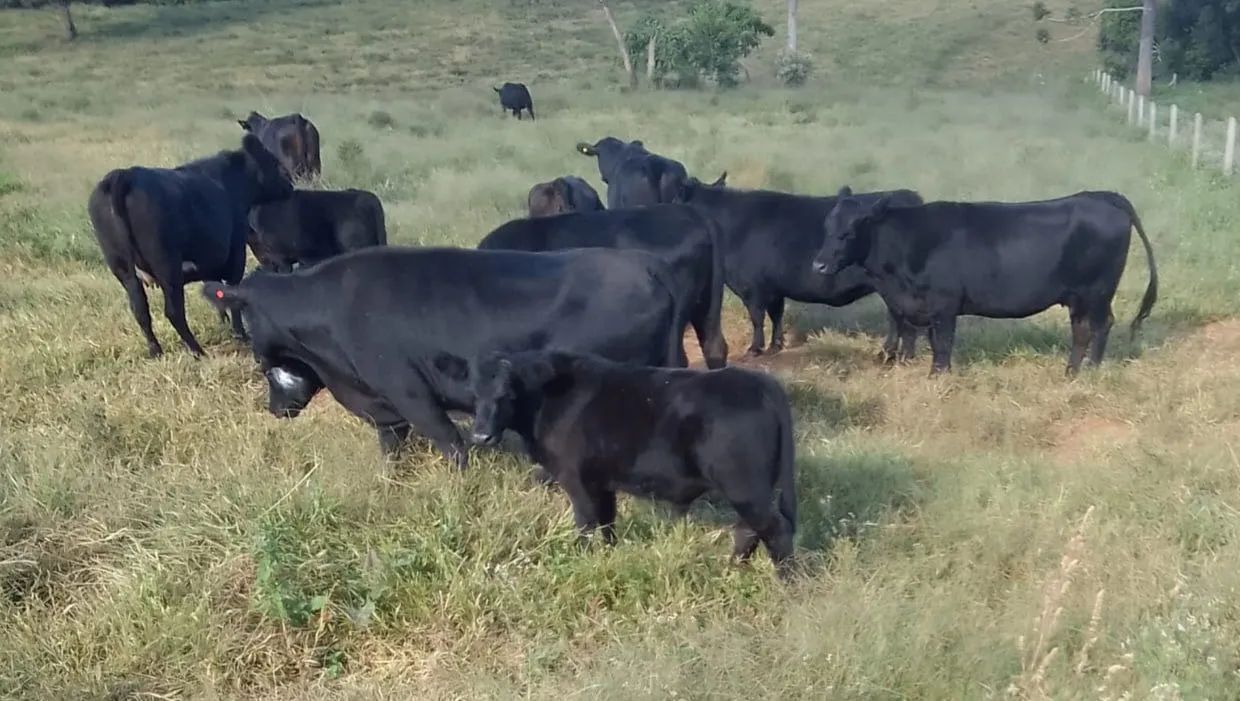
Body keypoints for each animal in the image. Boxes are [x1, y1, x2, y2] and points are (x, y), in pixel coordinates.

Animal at [87, 134, 293, 358]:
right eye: (275, 163)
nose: (290, 185)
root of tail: (125, 175)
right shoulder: (235, 254)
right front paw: (240, 333)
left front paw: (223, 324)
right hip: (167, 266)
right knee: (173, 311)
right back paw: (197, 351)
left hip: (122, 268)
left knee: (140, 310)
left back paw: (156, 351)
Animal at [202, 246, 685, 468]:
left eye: (248, 319)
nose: (274, 408)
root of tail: (647, 266)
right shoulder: (386, 406)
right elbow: (391, 448)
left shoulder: (411, 392)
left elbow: (452, 446)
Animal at [469, 349, 797, 577]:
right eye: (474, 396)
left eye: (507, 394)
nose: (481, 435)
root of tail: (762, 382)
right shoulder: (601, 482)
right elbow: (606, 522)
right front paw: (608, 555)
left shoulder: (575, 480)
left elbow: (586, 524)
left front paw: (582, 559)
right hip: (751, 489)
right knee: (749, 530)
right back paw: (732, 571)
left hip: (744, 486)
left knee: (774, 529)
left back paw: (788, 583)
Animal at [677, 177, 925, 358]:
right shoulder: (774, 289)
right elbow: (776, 315)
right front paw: (776, 345)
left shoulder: (752, 288)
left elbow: (757, 318)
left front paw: (755, 348)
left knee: (898, 318)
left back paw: (891, 353)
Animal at [812, 187, 1159, 375]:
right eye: (827, 226)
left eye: (850, 231)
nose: (819, 263)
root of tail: (1101, 197)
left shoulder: (944, 304)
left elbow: (943, 345)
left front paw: (937, 377)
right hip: (1078, 296)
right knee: (1081, 330)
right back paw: (1070, 372)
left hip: (1098, 292)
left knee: (1101, 326)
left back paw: (1091, 371)